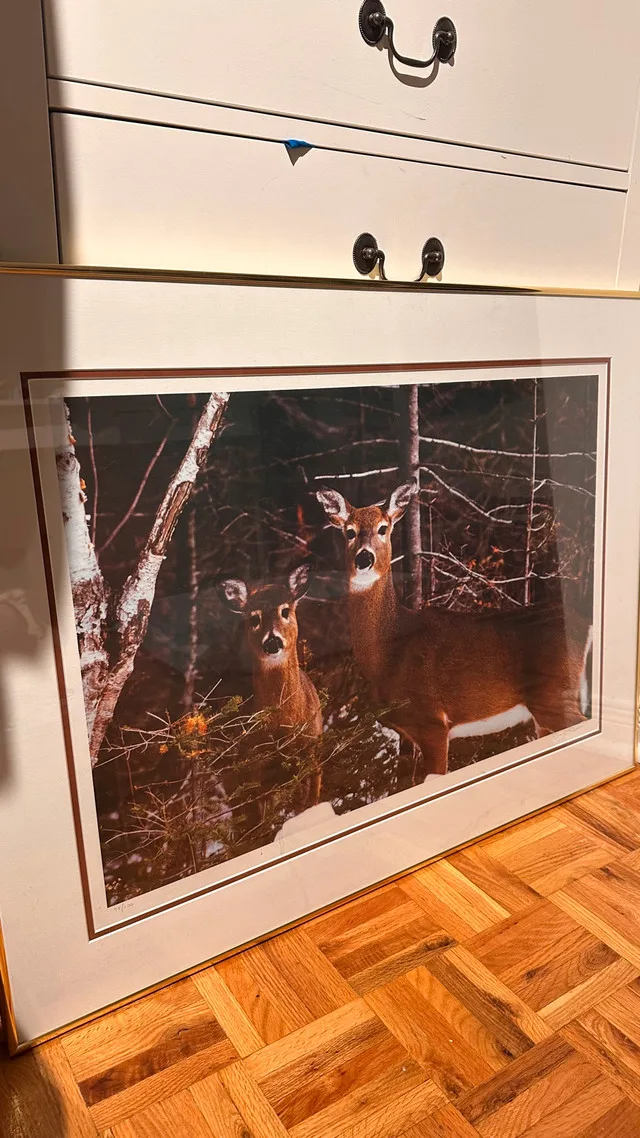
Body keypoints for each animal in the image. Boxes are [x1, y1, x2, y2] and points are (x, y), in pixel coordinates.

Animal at [317, 480, 592, 778]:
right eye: (350, 531)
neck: (390, 651)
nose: (364, 558)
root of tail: (586, 627)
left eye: (383, 528)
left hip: (555, 695)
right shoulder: (408, 733)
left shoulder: (433, 722)